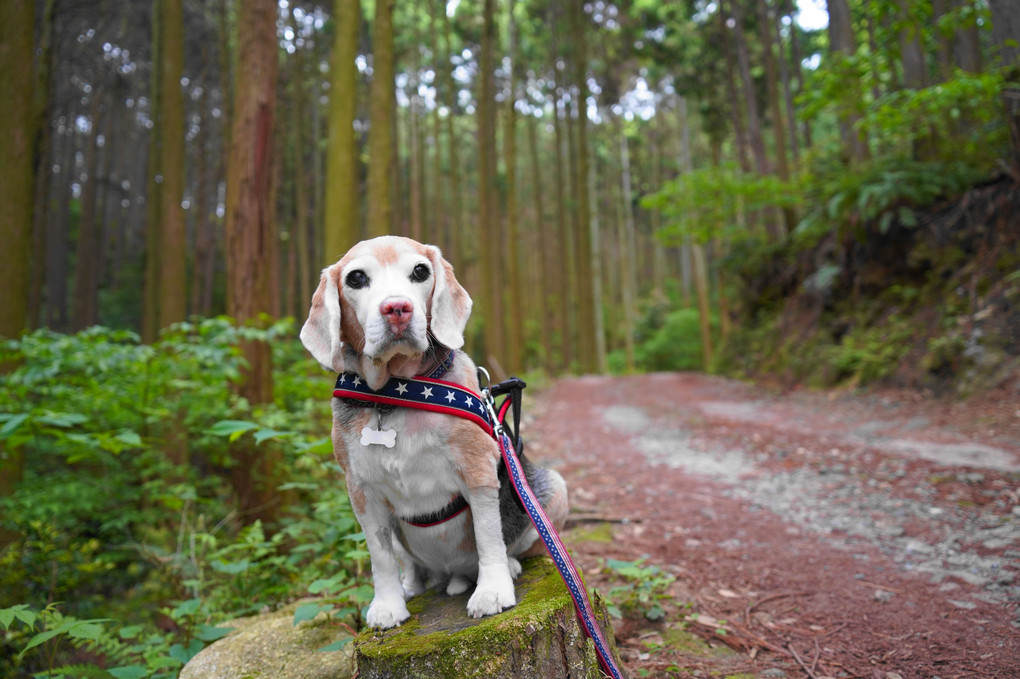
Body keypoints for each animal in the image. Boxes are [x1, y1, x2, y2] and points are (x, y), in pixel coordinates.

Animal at [297, 235, 571, 628]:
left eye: (420, 271)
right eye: (356, 278)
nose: (397, 308)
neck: (396, 394)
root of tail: (452, 573)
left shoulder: (478, 471)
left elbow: (488, 535)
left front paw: (492, 591)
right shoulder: (361, 490)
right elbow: (380, 556)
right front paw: (388, 605)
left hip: (553, 489)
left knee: (513, 547)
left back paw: (509, 566)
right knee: (411, 563)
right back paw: (413, 586)